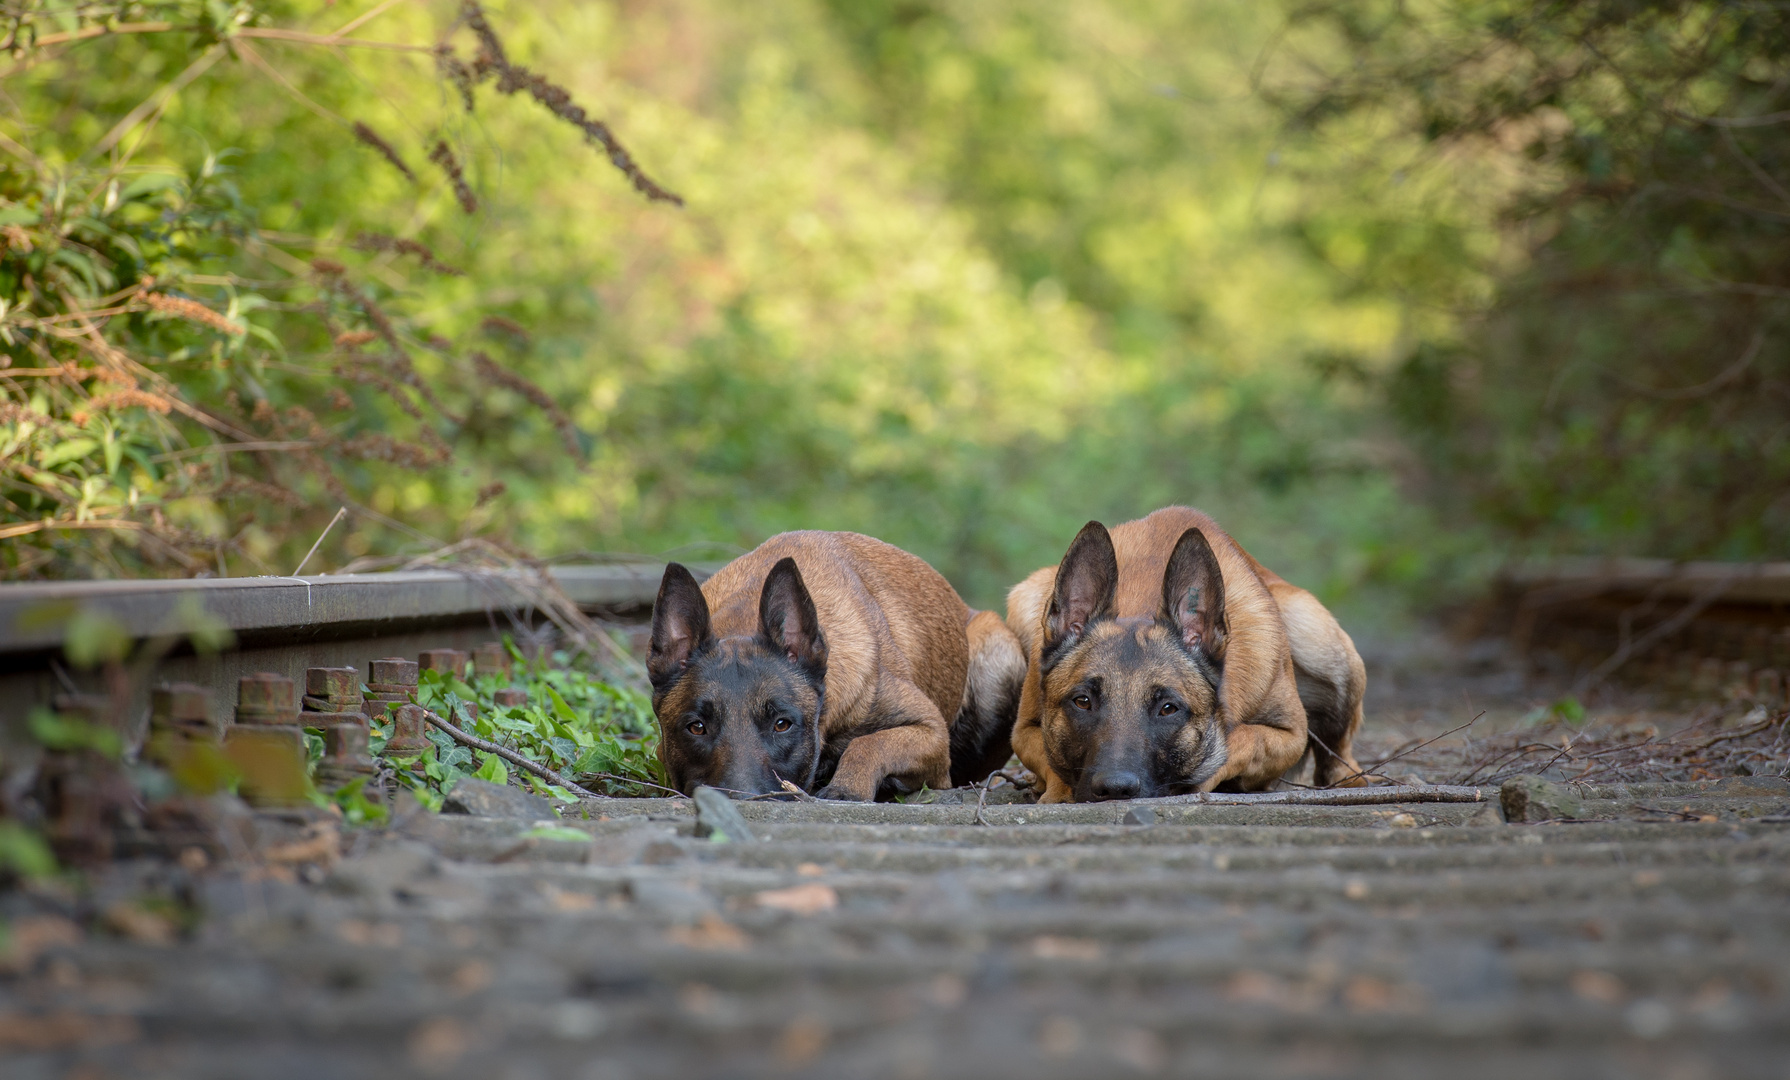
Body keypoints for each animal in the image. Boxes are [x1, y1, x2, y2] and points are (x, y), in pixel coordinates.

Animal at [651, 533, 1031, 802]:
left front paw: (847, 786)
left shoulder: (932, 733)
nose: (740, 798)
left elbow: (868, 744)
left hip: (996, 653)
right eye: (696, 728)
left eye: (782, 724)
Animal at [1009, 508, 1367, 802]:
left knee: (1338, 754)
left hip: (1320, 640)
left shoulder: (1290, 735)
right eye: (1082, 702)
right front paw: (1056, 791)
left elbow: (1241, 739)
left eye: (1168, 709)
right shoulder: (1024, 731)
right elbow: (1049, 757)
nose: (1114, 789)